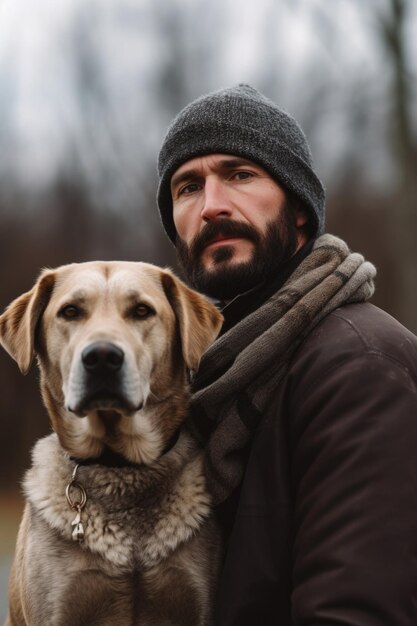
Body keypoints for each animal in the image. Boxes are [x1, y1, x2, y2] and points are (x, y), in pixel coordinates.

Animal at [0, 260, 224, 624]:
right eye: (70, 311)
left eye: (142, 310)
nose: (102, 356)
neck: (119, 466)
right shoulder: (57, 608)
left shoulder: (196, 603)